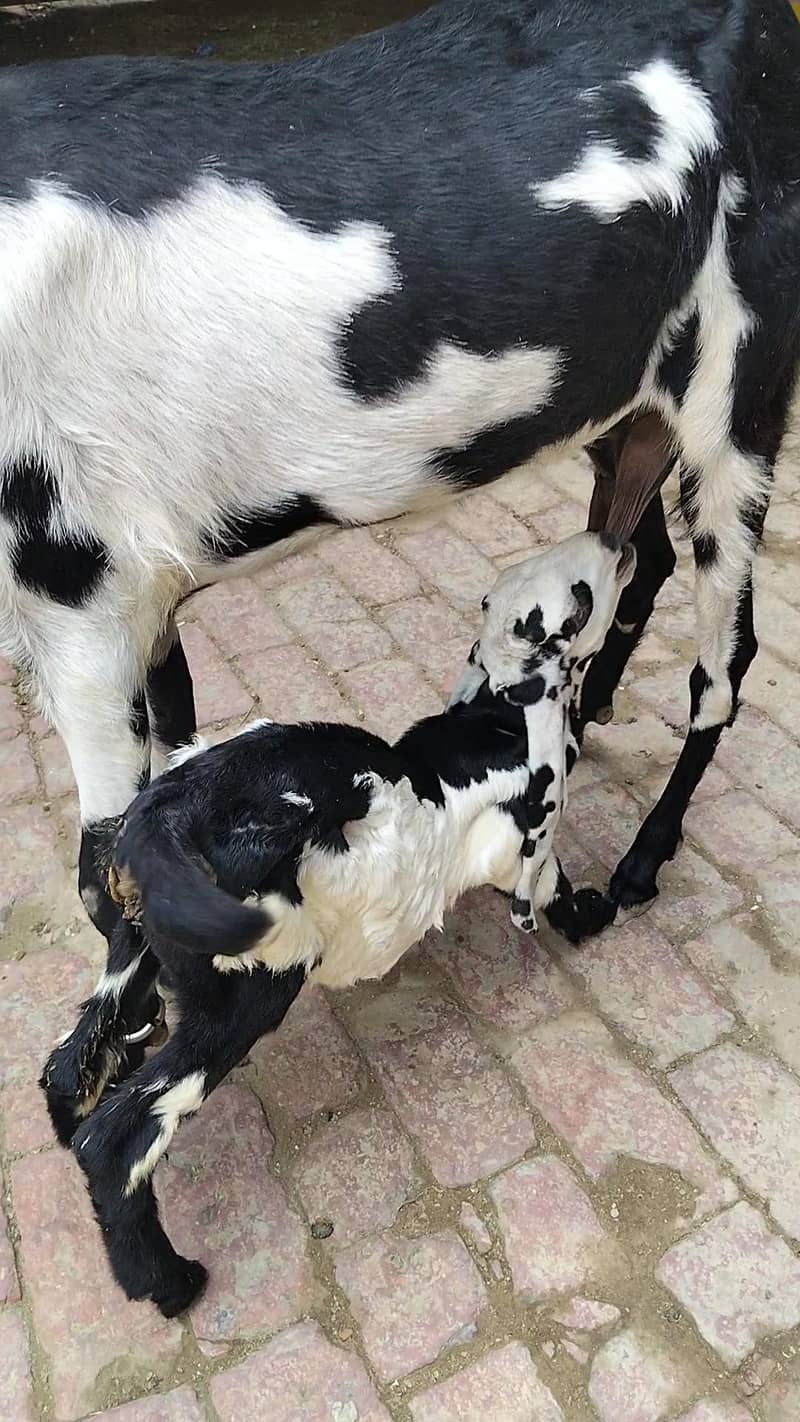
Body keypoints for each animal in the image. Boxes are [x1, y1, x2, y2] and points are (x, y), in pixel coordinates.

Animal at [3, 2, 798, 1047]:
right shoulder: (135, 601)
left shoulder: (76, 604)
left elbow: (105, 870)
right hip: (626, 411)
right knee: (632, 549)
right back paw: (588, 708)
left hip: (737, 401)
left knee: (721, 668)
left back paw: (639, 862)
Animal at [42, 530, 633, 1316]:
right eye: (580, 597)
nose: (619, 539)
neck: (494, 719)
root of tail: (165, 813)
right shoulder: (532, 823)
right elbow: (546, 870)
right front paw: (585, 911)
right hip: (245, 993)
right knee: (117, 1141)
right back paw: (167, 1281)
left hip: (140, 954)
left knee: (69, 1064)